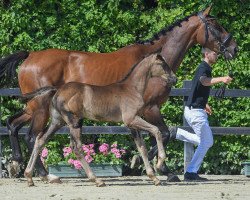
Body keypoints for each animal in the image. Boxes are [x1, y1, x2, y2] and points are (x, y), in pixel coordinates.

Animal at [20, 53, 177, 186]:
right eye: (163, 64)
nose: (174, 78)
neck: (132, 88)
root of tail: (57, 90)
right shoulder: (131, 119)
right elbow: (156, 131)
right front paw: (159, 163)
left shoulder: (132, 125)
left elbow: (142, 148)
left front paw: (154, 177)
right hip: (75, 122)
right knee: (77, 148)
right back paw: (96, 179)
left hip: (57, 122)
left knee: (40, 140)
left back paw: (29, 177)